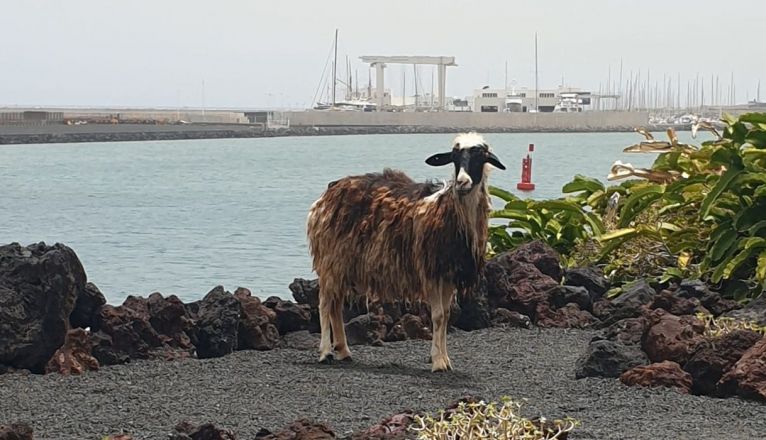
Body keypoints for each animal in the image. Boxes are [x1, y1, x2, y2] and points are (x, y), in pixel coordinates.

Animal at [308, 133, 508, 372]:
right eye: (454, 157)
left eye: (481, 155)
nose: (462, 183)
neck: (447, 211)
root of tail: (331, 190)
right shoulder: (431, 272)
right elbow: (438, 316)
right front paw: (438, 362)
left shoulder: (449, 275)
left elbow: (446, 315)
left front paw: (445, 359)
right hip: (329, 258)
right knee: (324, 303)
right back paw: (325, 352)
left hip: (344, 264)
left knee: (336, 306)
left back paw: (344, 351)